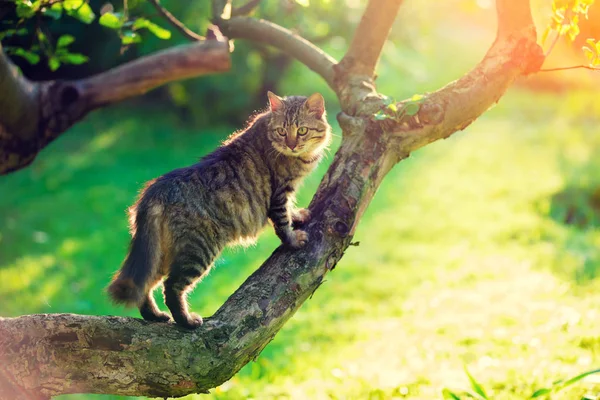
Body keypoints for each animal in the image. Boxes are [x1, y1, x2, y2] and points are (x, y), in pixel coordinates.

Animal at [108, 92, 332, 330]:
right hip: (198, 251)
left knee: (144, 286)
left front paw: (298, 215)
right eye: (282, 131)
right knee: (171, 287)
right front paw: (293, 239)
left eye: (302, 130)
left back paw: (154, 316)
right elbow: (282, 223)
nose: (291, 145)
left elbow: (289, 211)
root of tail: (156, 190)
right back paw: (186, 321)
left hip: (158, 253)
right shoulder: (280, 193)